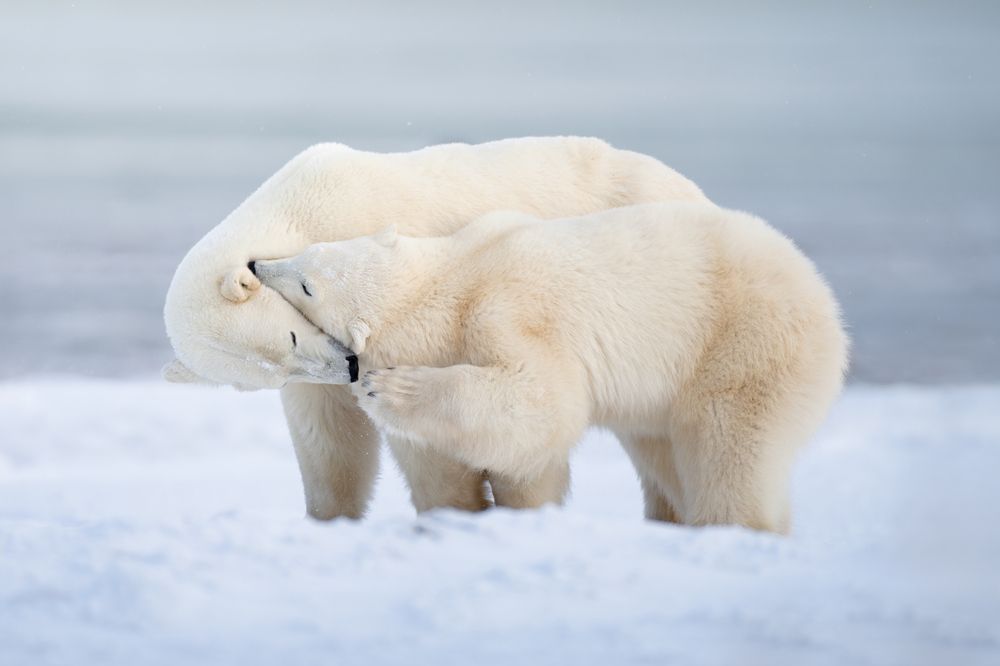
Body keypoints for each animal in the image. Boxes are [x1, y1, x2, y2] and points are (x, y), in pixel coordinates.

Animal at [162, 137, 711, 519]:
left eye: (291, 335)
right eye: (271, 372)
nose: (348, 366)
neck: (304, 208)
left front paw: (454, 509)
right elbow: (329, 435)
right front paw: (328, 517)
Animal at [251, 202, 849, 533]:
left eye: (306, 283)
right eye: (309, 253)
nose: (257, 263)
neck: (455, 277)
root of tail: (827, 305)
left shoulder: (508, 314)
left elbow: (542, 404)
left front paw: (390, 388)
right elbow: (519, 455)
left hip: (746, 345)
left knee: (730, 449)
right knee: (667, 453)